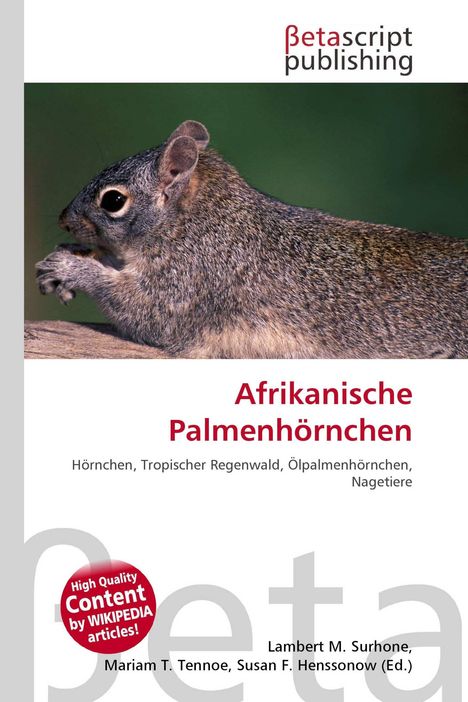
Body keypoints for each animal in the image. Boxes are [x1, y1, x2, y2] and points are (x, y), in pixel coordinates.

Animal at [36, 120, 468, 358]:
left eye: (113, 200)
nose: (63, 220)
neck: (202, 221)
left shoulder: (194, 281)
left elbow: (148, 314)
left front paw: (71, 268)